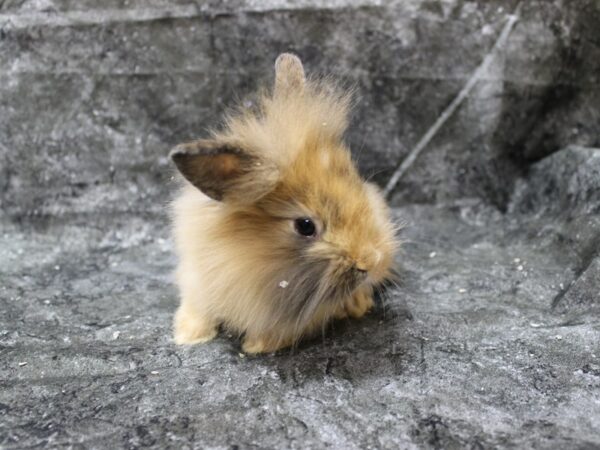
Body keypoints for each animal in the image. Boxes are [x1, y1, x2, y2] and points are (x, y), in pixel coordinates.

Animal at [169, 52, 398, 354]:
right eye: (305, 226)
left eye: (357, 185)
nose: (371, 262)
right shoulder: (197, 282)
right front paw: (188, 336)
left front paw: (255, 346)